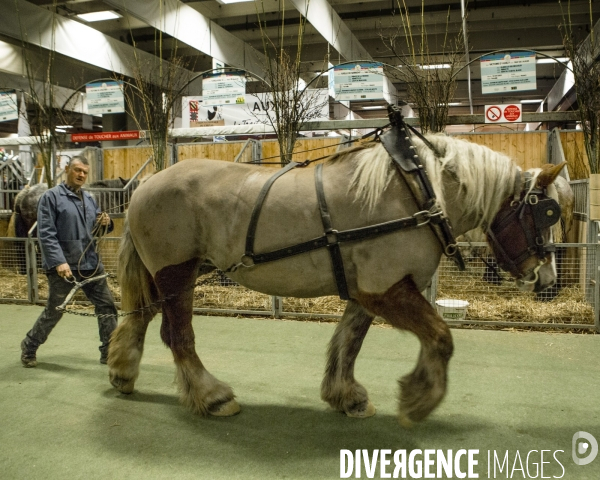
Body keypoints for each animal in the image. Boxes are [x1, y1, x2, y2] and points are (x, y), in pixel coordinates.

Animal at [106, 126, 564, 424]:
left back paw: (123, 373)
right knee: (178, 336)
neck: (418, 191)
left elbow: (349, 342)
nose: (545, 280)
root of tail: (146, 186)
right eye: (546, 213)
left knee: (141, 318)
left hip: (168, 275)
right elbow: (440, 337)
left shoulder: (368, 291)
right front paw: (418, 399)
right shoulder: (387, 288)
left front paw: (347, 397)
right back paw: (212, 397)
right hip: (177, 273)